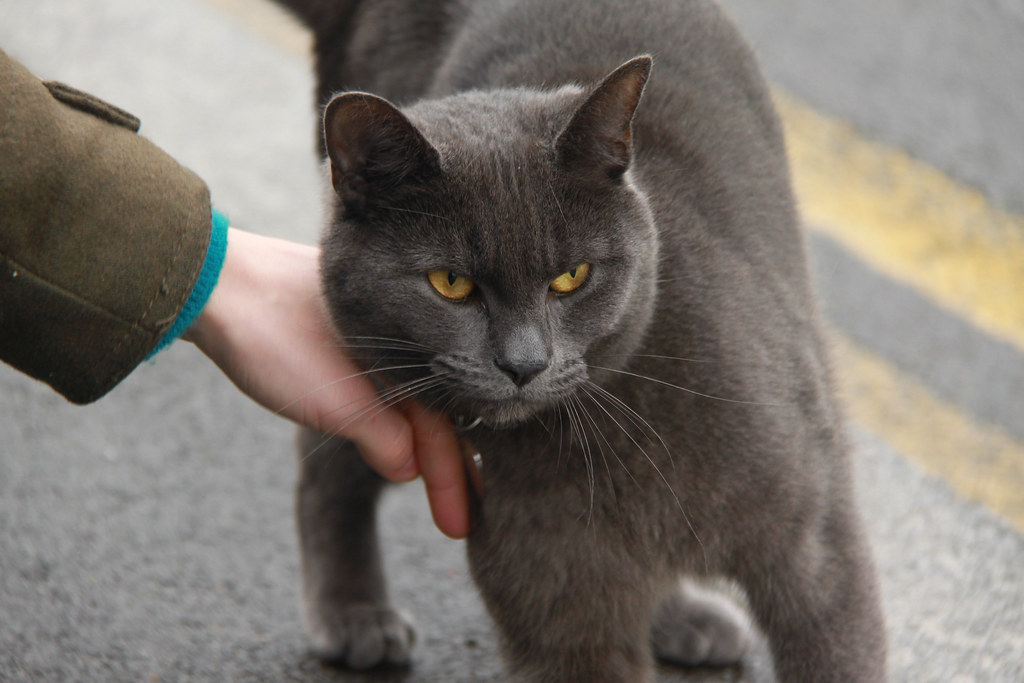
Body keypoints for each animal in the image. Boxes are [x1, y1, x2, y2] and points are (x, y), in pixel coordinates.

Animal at [278, 1, 888, 683]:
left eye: (572, 276)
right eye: (451, 283)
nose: (524, 363)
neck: (611, 440)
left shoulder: (816, 542)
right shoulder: (560, 607)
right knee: (331, 454)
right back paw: (355, 615)